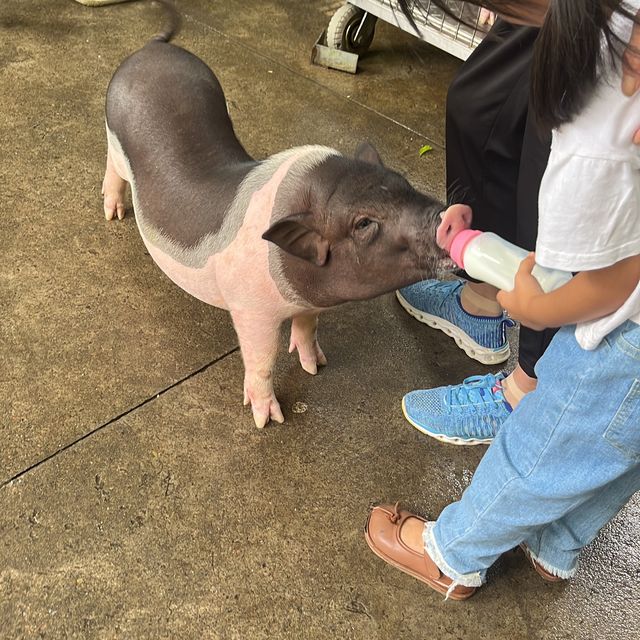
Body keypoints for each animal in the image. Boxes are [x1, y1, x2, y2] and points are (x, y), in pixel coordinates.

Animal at [101, 5, 470, 428]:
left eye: (402, 182)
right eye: (363, 224)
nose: (454, 214)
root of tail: (152, 48)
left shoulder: (309, 303)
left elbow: (308, 328)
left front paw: (317, 366)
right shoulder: (250, 309)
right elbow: (261, 358)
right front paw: (269, 420)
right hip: (113, 139)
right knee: (112, 167)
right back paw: (113, 214)